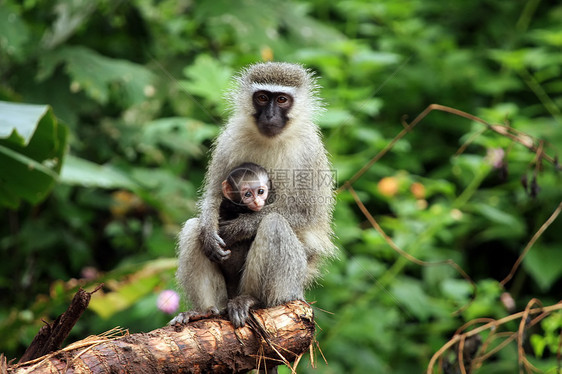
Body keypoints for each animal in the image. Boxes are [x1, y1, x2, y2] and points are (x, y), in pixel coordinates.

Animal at [171, 61, 334, 334]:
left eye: (281, 99)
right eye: (262, 98)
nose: (269, 116)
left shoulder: (310, 152)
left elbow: (306, 214)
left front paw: (239, 227)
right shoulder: (229, 138)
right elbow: (213, 193)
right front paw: (210, 231)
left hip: (292, 286)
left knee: (274, 224)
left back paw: (253, 300)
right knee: (194, 228)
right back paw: (204, 311)